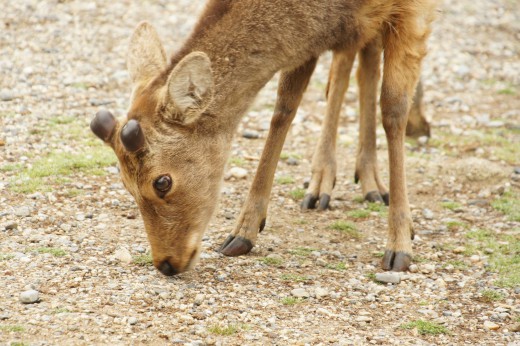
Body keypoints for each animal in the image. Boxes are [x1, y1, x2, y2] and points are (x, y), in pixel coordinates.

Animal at [91, 0, 436, 276]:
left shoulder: (413, 9)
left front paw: (400, 246)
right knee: (353, 59)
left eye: (162, 182)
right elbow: (284, 106)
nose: (165, 263)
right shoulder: (310, 35)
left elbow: (393, 110)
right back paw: (334, 182)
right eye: (125, 184)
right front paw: (243, 232)